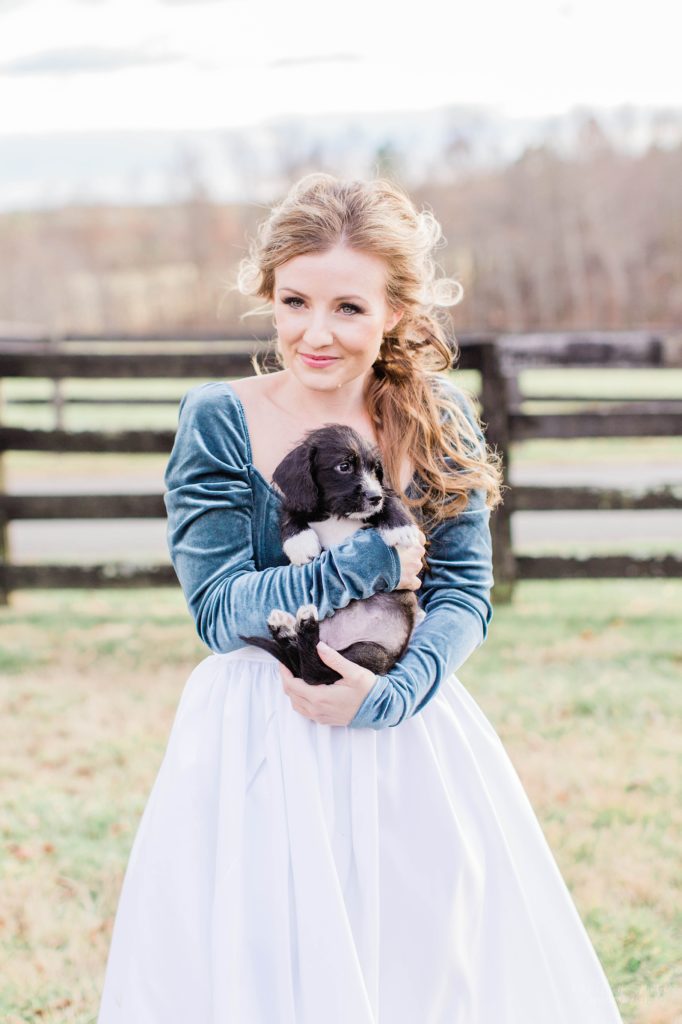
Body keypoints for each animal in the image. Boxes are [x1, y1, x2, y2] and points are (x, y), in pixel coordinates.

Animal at [236, 423, 421, 688]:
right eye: (344, 466)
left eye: (376, 470)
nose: (373, 497)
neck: (336, 513)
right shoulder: (299, 501)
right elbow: (290, 513)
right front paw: (300, 543)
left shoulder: (382, 493)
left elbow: (391, 498)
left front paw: (400, 526)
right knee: (309, 669)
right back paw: (290, 629)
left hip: (369, 653)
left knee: (311, 668)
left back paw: (294, 628)